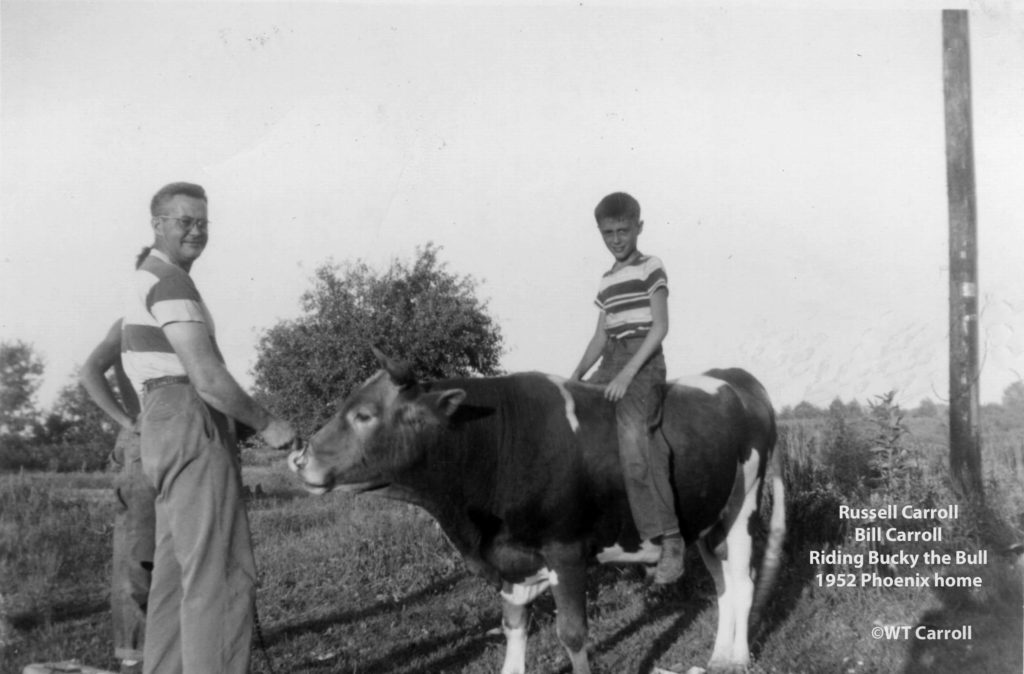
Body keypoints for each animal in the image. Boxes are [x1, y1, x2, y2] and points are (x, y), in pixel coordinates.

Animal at [288, 352, 782, 671]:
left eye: (365, 415)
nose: (299, 458)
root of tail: (735, 378)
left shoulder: (566, 551)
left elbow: (573, 635)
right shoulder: (513, 560)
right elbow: (513, 629)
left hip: (743, 507)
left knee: (742, 581)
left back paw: (739, 658)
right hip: (706, 521)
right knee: (722, 584)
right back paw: (717, 656)